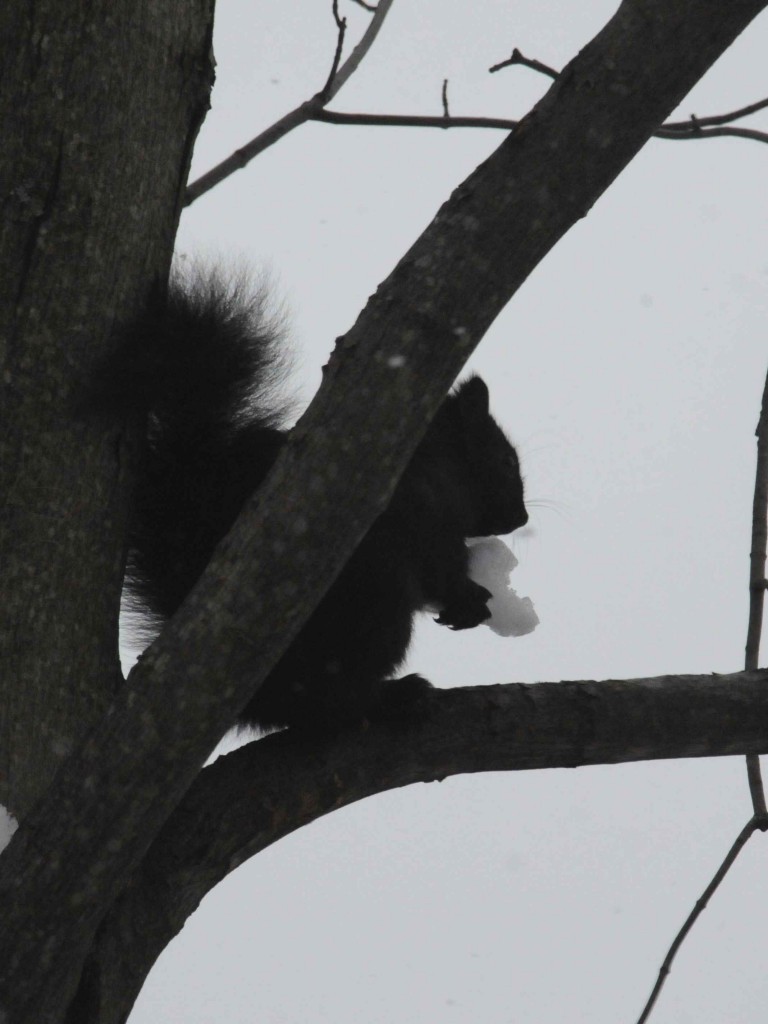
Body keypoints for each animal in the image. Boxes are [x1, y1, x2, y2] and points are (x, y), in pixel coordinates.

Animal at [108, 268, 528, 733]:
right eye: (507, 461)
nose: (521, 517)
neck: (435, 464)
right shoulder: (425, 516)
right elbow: (440, 570)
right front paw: (468, 598)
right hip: (376, 606)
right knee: (327, 700)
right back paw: (387, 698)